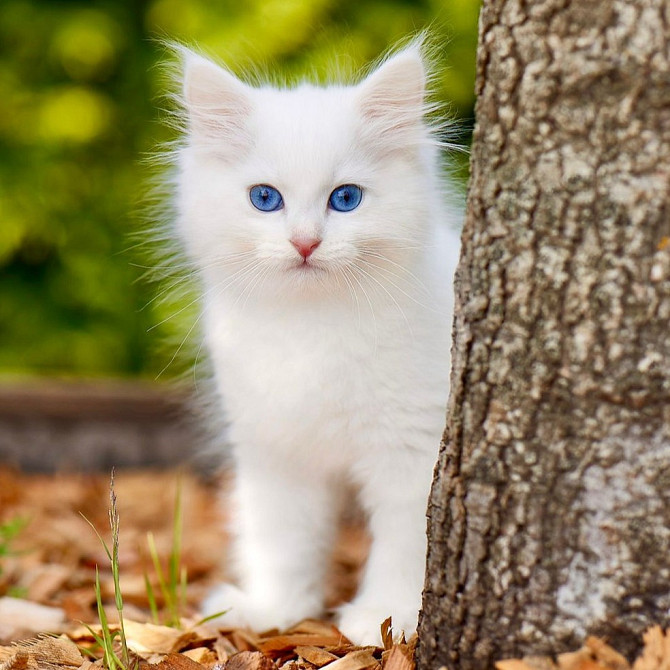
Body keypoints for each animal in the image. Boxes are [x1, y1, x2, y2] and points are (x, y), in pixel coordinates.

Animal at [175, 40, 462, 644]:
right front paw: (273, 609)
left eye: (345, 198)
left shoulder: (412, 450)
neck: (313, 326)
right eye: (265, 198)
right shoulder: (275, 447)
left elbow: (406, 542)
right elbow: (282, 536)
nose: (305, 243)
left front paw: (387, 618)